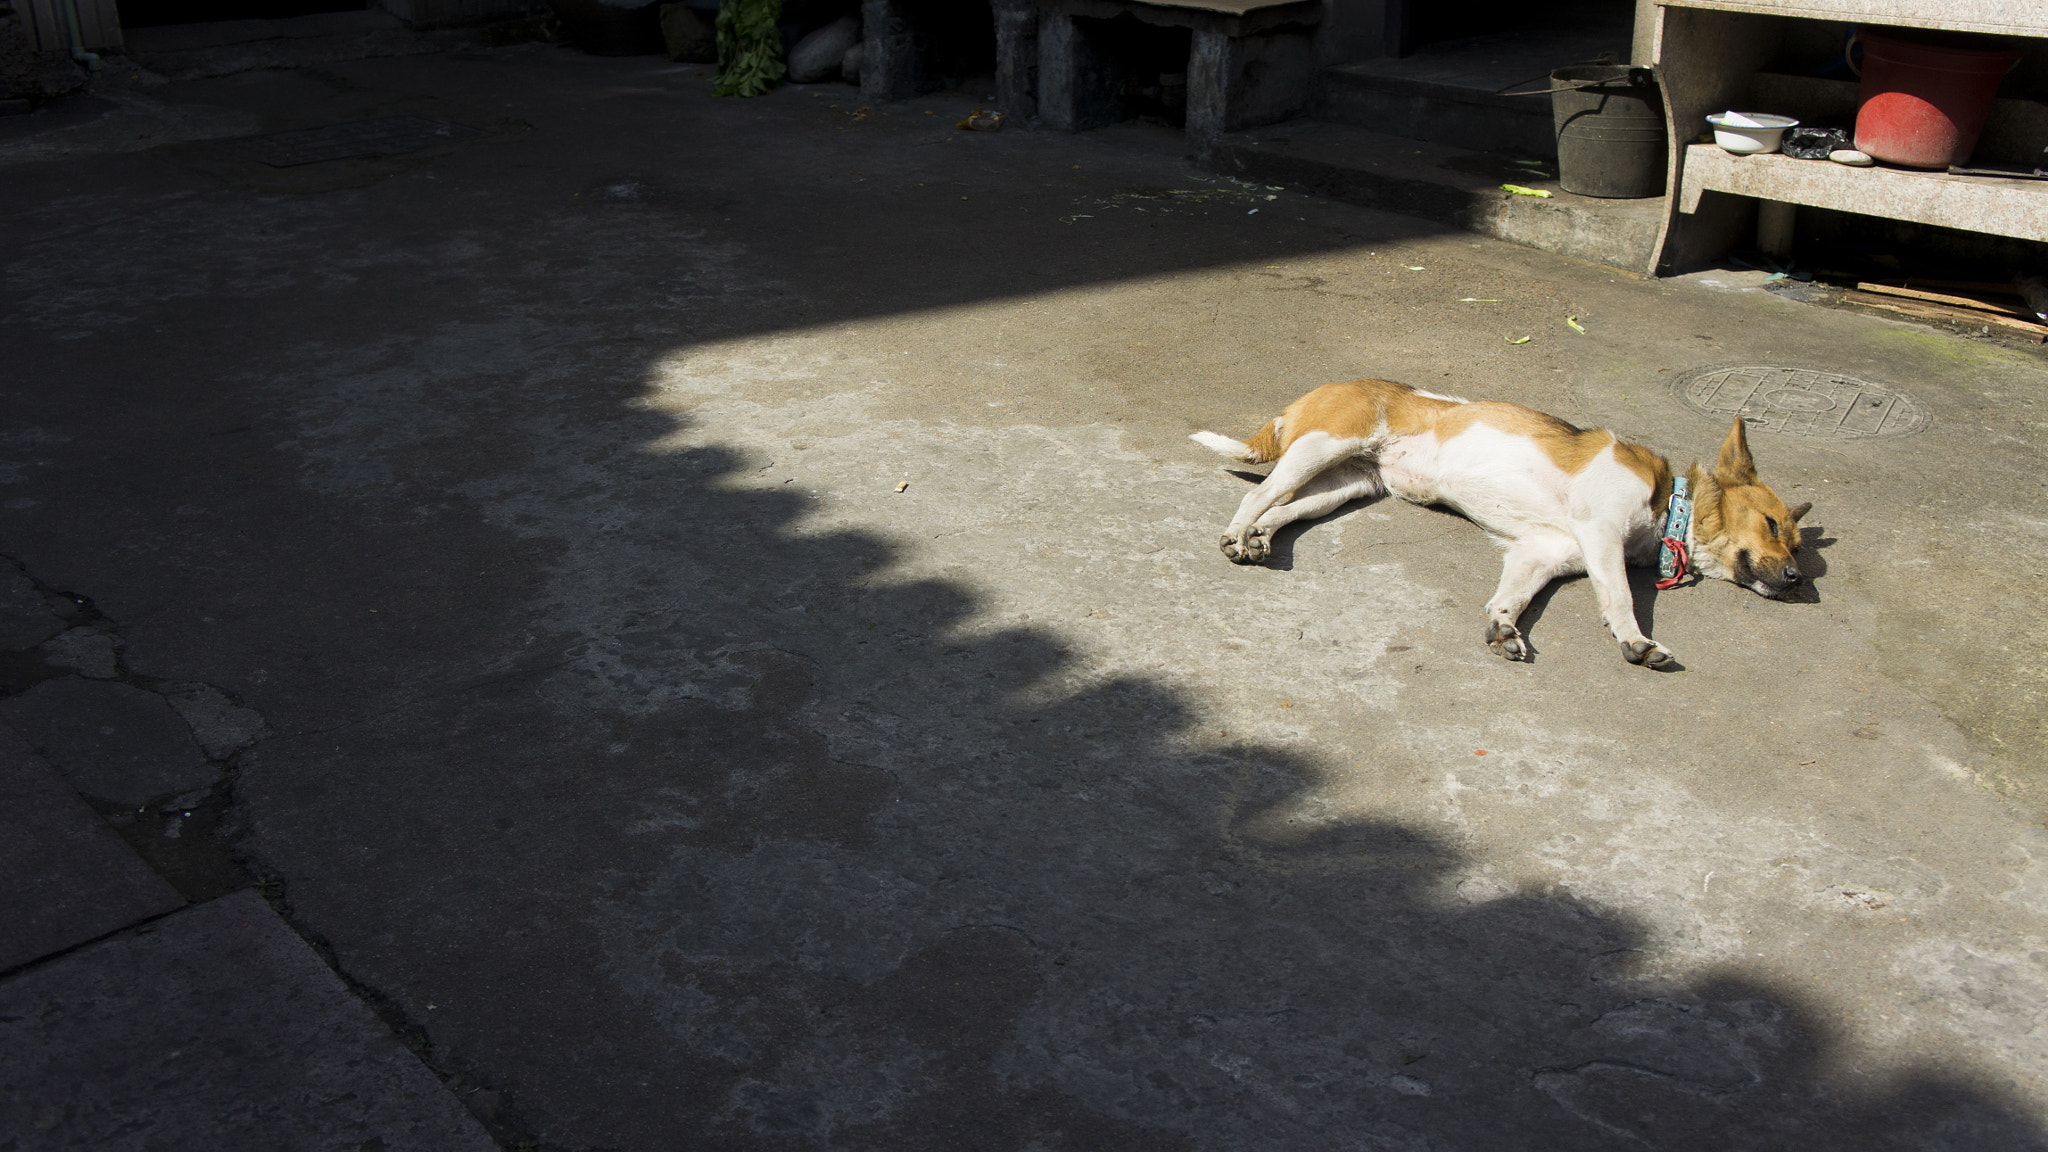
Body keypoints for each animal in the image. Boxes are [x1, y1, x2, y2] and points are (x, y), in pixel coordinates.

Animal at [1196, 377, 1818, 664]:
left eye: (1796, 546)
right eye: (1771, 525)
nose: (1797, 581)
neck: (1670, 506)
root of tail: (1322, 389)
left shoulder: (1539, 554)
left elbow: (1510, 600)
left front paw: (1503, 627)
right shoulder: (1601, 535)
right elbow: (1620, 598)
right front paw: (1637, 641)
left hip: (1344, 486)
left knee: (1283, 509)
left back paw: (1260, 538)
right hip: (1321, 447)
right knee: (1260, 495)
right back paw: (1236, 535)